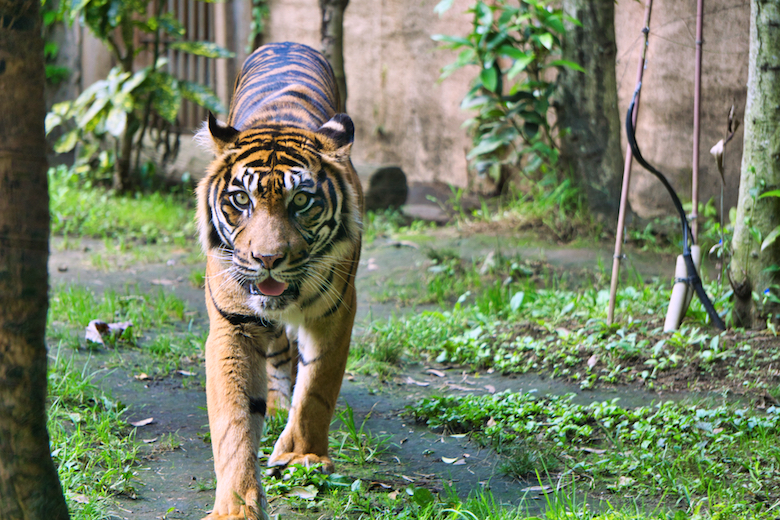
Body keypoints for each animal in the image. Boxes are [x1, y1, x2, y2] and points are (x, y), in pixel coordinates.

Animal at [195, 41, 366, 520]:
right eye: (241, 200)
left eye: (302, 201)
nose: (267, 259)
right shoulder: (233, 324)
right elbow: (232, 423)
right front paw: (236, 506)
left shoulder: (337, 311)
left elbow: (317, 387)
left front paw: (302, 456)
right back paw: (273, 405)